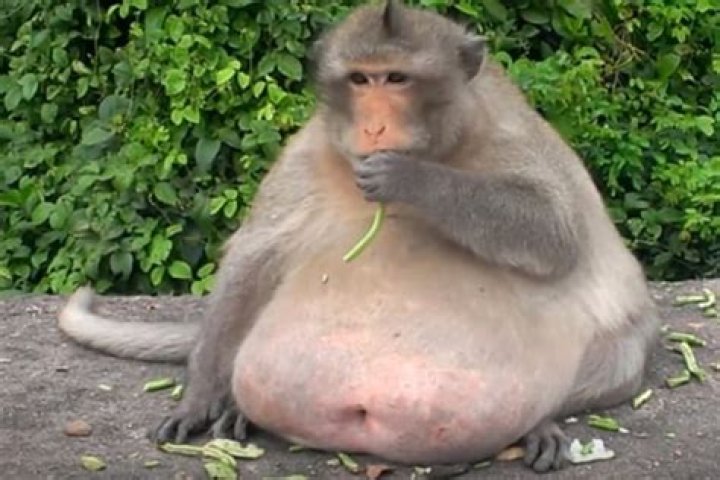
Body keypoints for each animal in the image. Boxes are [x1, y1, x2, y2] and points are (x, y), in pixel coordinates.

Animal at [58, 0, 659, 472]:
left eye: (396, 78)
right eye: (359, 79)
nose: (373, 126)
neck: (443, 143)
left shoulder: (510, 132)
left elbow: (553, 231)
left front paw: (409, 179)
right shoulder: (308, 153)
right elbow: (251, 260)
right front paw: (202, 396)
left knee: (622, 353)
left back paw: (537, 424)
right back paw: (237, 408)